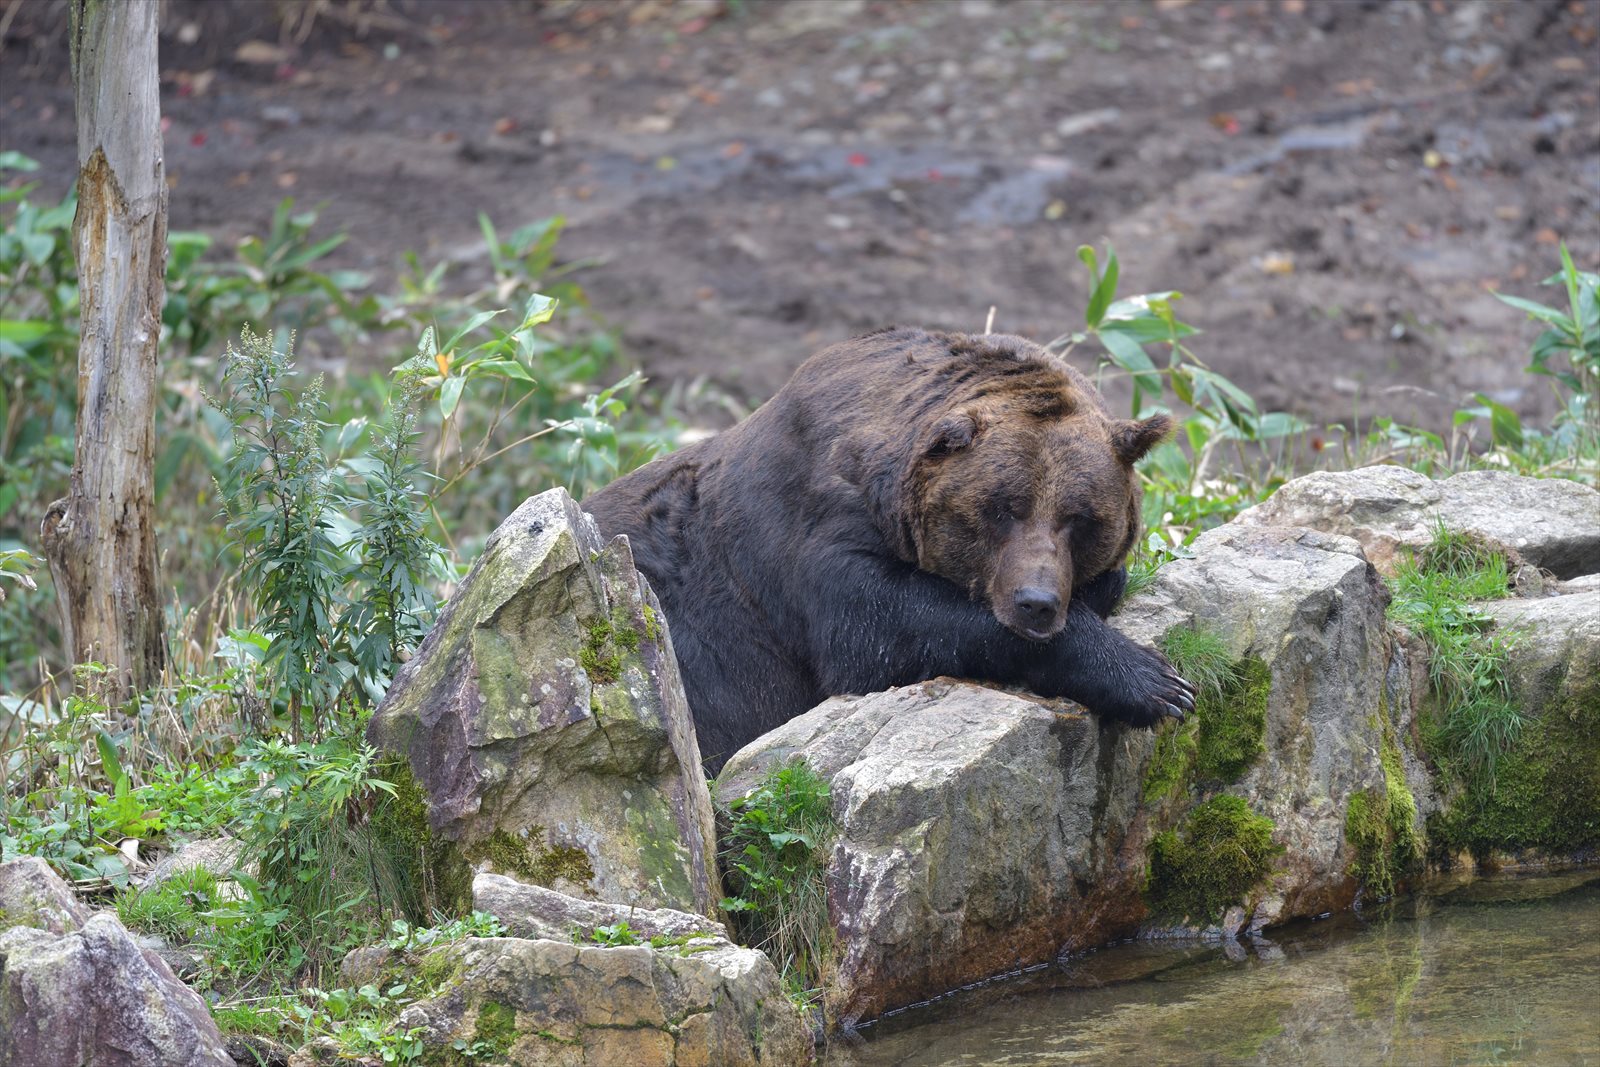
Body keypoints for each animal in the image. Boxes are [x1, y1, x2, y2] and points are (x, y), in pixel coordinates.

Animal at [582, 326, 1196, 767]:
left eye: (1079, 519)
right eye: (1004, 508)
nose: (1036, 603)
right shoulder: (817, 536)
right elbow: (883, 624)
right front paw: (1156, 683)